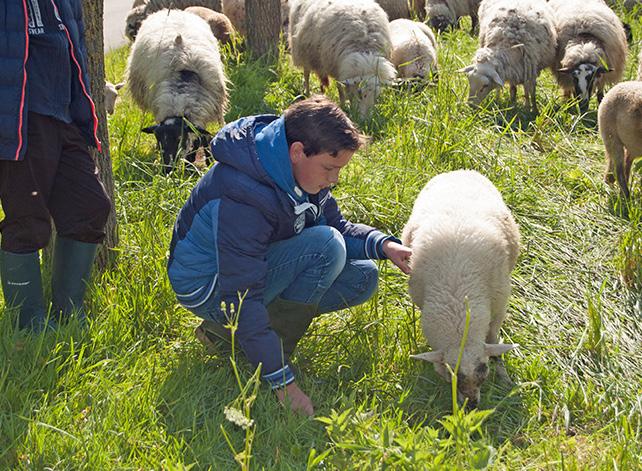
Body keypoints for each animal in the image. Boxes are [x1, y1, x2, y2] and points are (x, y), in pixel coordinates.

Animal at [124, 8, 226, 173]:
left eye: (179, 139)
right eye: (158, 140)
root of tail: (172, 10)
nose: (167, 169)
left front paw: (197, 166)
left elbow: (201, 139)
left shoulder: (202, 113)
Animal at [404, 171, 520, 410]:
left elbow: (493, 340)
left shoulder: (499, 304)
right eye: (451, 376)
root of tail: (459, 170)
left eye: (484, 373)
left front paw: (504, 376)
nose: (471, 405)